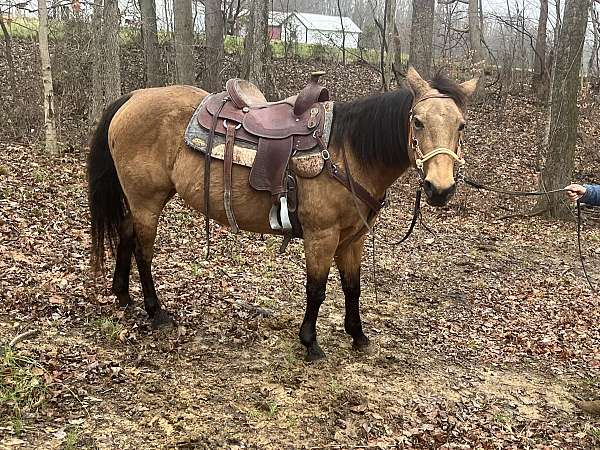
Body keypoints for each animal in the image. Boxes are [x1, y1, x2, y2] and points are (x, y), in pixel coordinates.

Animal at [86, 67, 478, 360]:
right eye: (418, 122)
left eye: (461, 125)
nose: (440, 188)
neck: (347, 154)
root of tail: (133, 97)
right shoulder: (322, 235)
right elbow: (317, 290)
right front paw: (310, 342)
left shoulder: (352, 238)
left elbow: (352, 287)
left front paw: (358, 335)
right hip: (147, 200)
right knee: (144, 252)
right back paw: (156, 312)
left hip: (143, 200)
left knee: (126, 234)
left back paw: (123, 296)